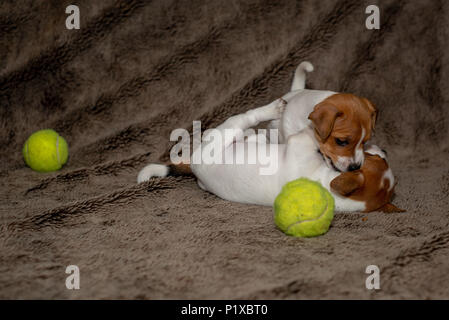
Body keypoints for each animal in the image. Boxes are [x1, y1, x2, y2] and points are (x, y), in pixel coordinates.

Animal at [137, 98, 402, 212]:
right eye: (380, 159)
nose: (385, 150)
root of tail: (193, 166)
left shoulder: (298, 145)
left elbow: (307, 134)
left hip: (224, 134)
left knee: (247, 117)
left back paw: (272, 111)